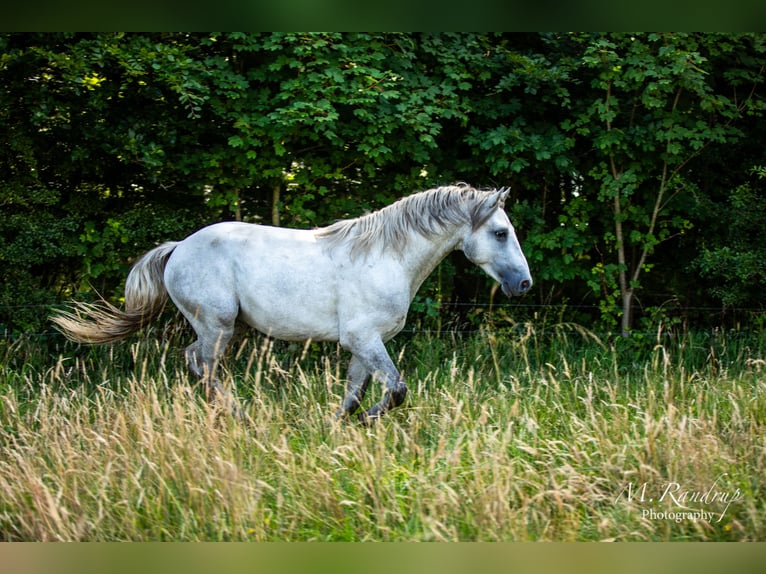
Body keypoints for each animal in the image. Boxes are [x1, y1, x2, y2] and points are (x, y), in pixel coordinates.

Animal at [52, 184, 536, 424]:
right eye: (500, 233)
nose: (525, 284)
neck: (385, 256)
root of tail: (178, 248)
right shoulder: (364, 339)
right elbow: (396, 390)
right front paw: (367, 423)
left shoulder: (362, 345)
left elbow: (355, 393)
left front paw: (338, 426)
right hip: (217, 325)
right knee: (205, 366)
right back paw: (239, 416)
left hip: (217, 327)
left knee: (194, 361)